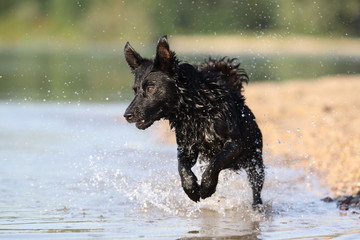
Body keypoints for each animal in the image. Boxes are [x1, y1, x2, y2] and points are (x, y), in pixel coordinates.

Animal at [124, 35, 264, 208]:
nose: (127, 115)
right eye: (135, 90)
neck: (195, 110)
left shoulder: (236, 143)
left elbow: (216, 163)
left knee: (256, 188)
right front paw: (190, 188)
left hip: (255, 161)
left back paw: (257, 206)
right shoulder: (186, 148)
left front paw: (206, 187)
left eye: (150, 88)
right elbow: (182, 167)